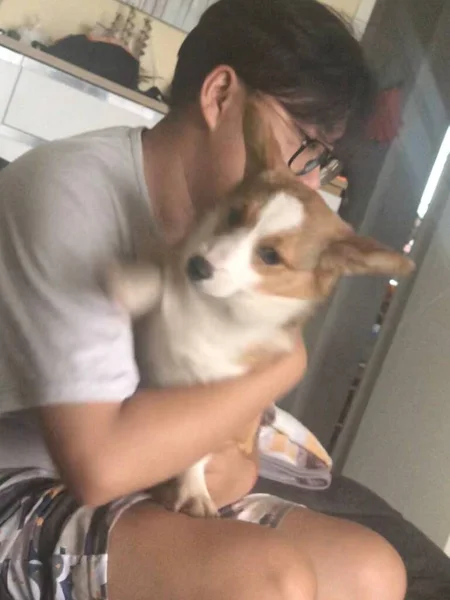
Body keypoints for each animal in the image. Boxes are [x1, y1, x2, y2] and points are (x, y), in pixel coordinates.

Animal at [107, 97, 414, 516]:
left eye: (270, 256)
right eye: (235, 215)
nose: (198, 267)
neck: (215, 308)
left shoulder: (219, 418)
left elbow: (195, 455)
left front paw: (193, 489)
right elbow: (161, 281)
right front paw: (134, 285)